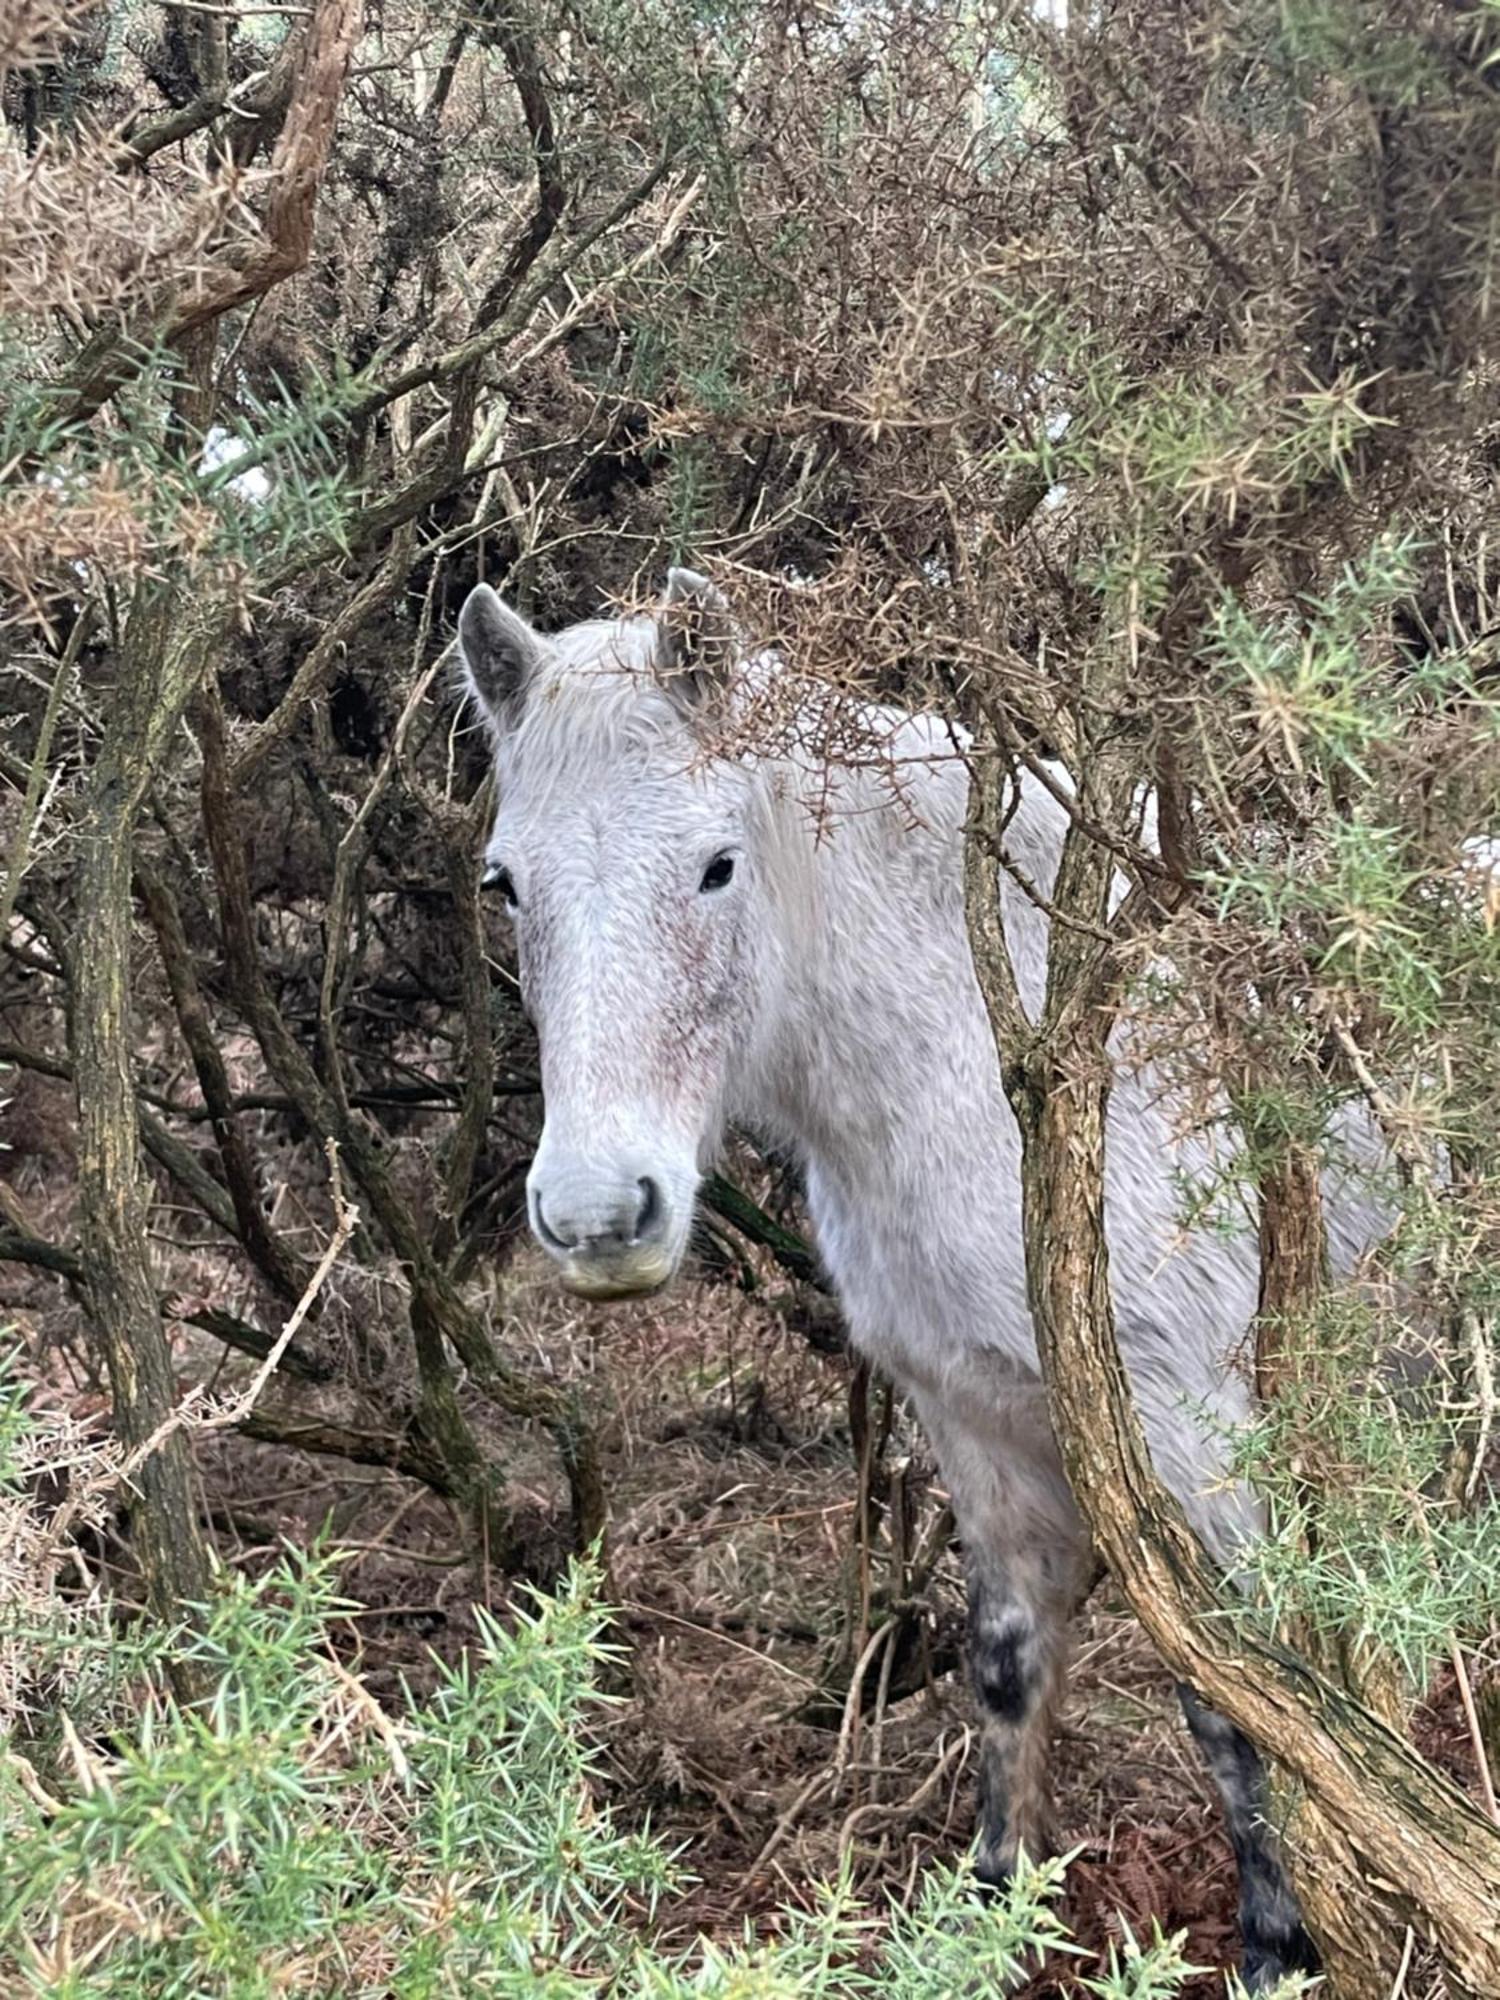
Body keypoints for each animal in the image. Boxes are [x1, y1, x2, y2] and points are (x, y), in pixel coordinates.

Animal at [456, 568, 1360, 1984]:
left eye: (718, 865)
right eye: (504, 883)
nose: (602, 1215)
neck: (1018, 1056)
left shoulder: (1198, 1444)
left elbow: (1239, 1703)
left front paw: (1276, 1945)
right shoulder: (978, 1422)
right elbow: (1007, 1663)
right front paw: (989, 1911)